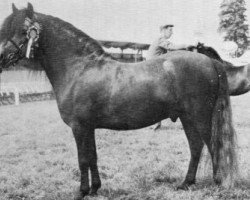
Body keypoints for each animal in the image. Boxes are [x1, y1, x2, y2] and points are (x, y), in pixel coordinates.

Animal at [0, 3, 237, 199]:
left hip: (200, 118)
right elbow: (92, 157)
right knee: (196, 146)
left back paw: (218, 182)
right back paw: (186, 183)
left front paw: (82, 191)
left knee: (212, 145)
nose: (1, 58)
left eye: (22, 31)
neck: (79, 68)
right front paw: (95, 189)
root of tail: (209, 61)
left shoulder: (79, 127)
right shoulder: (88, 127)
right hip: (187, 118)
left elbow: (83, 159)